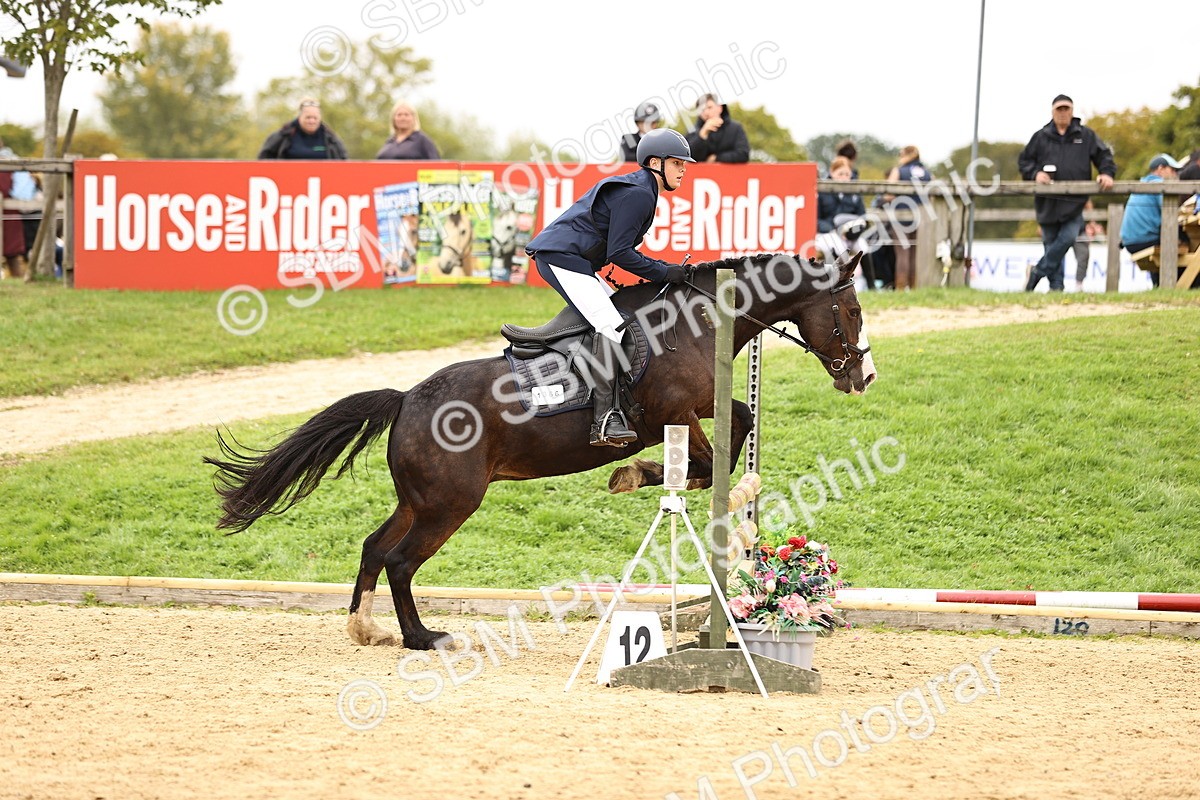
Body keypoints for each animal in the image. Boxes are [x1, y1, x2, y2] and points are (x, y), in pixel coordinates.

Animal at [204, 252, 876, 650]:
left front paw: (668, 481)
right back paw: (423, 637)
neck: (696, 321)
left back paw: (364, 628)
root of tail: (406, 400)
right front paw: (668, 484)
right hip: (451, 503)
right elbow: (712, 459)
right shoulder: (671, 413)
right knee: (399, 561)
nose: (862, 378)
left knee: (374, 547)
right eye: (850, 309)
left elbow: (737, 423)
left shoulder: (695, 409)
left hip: (421, 499)